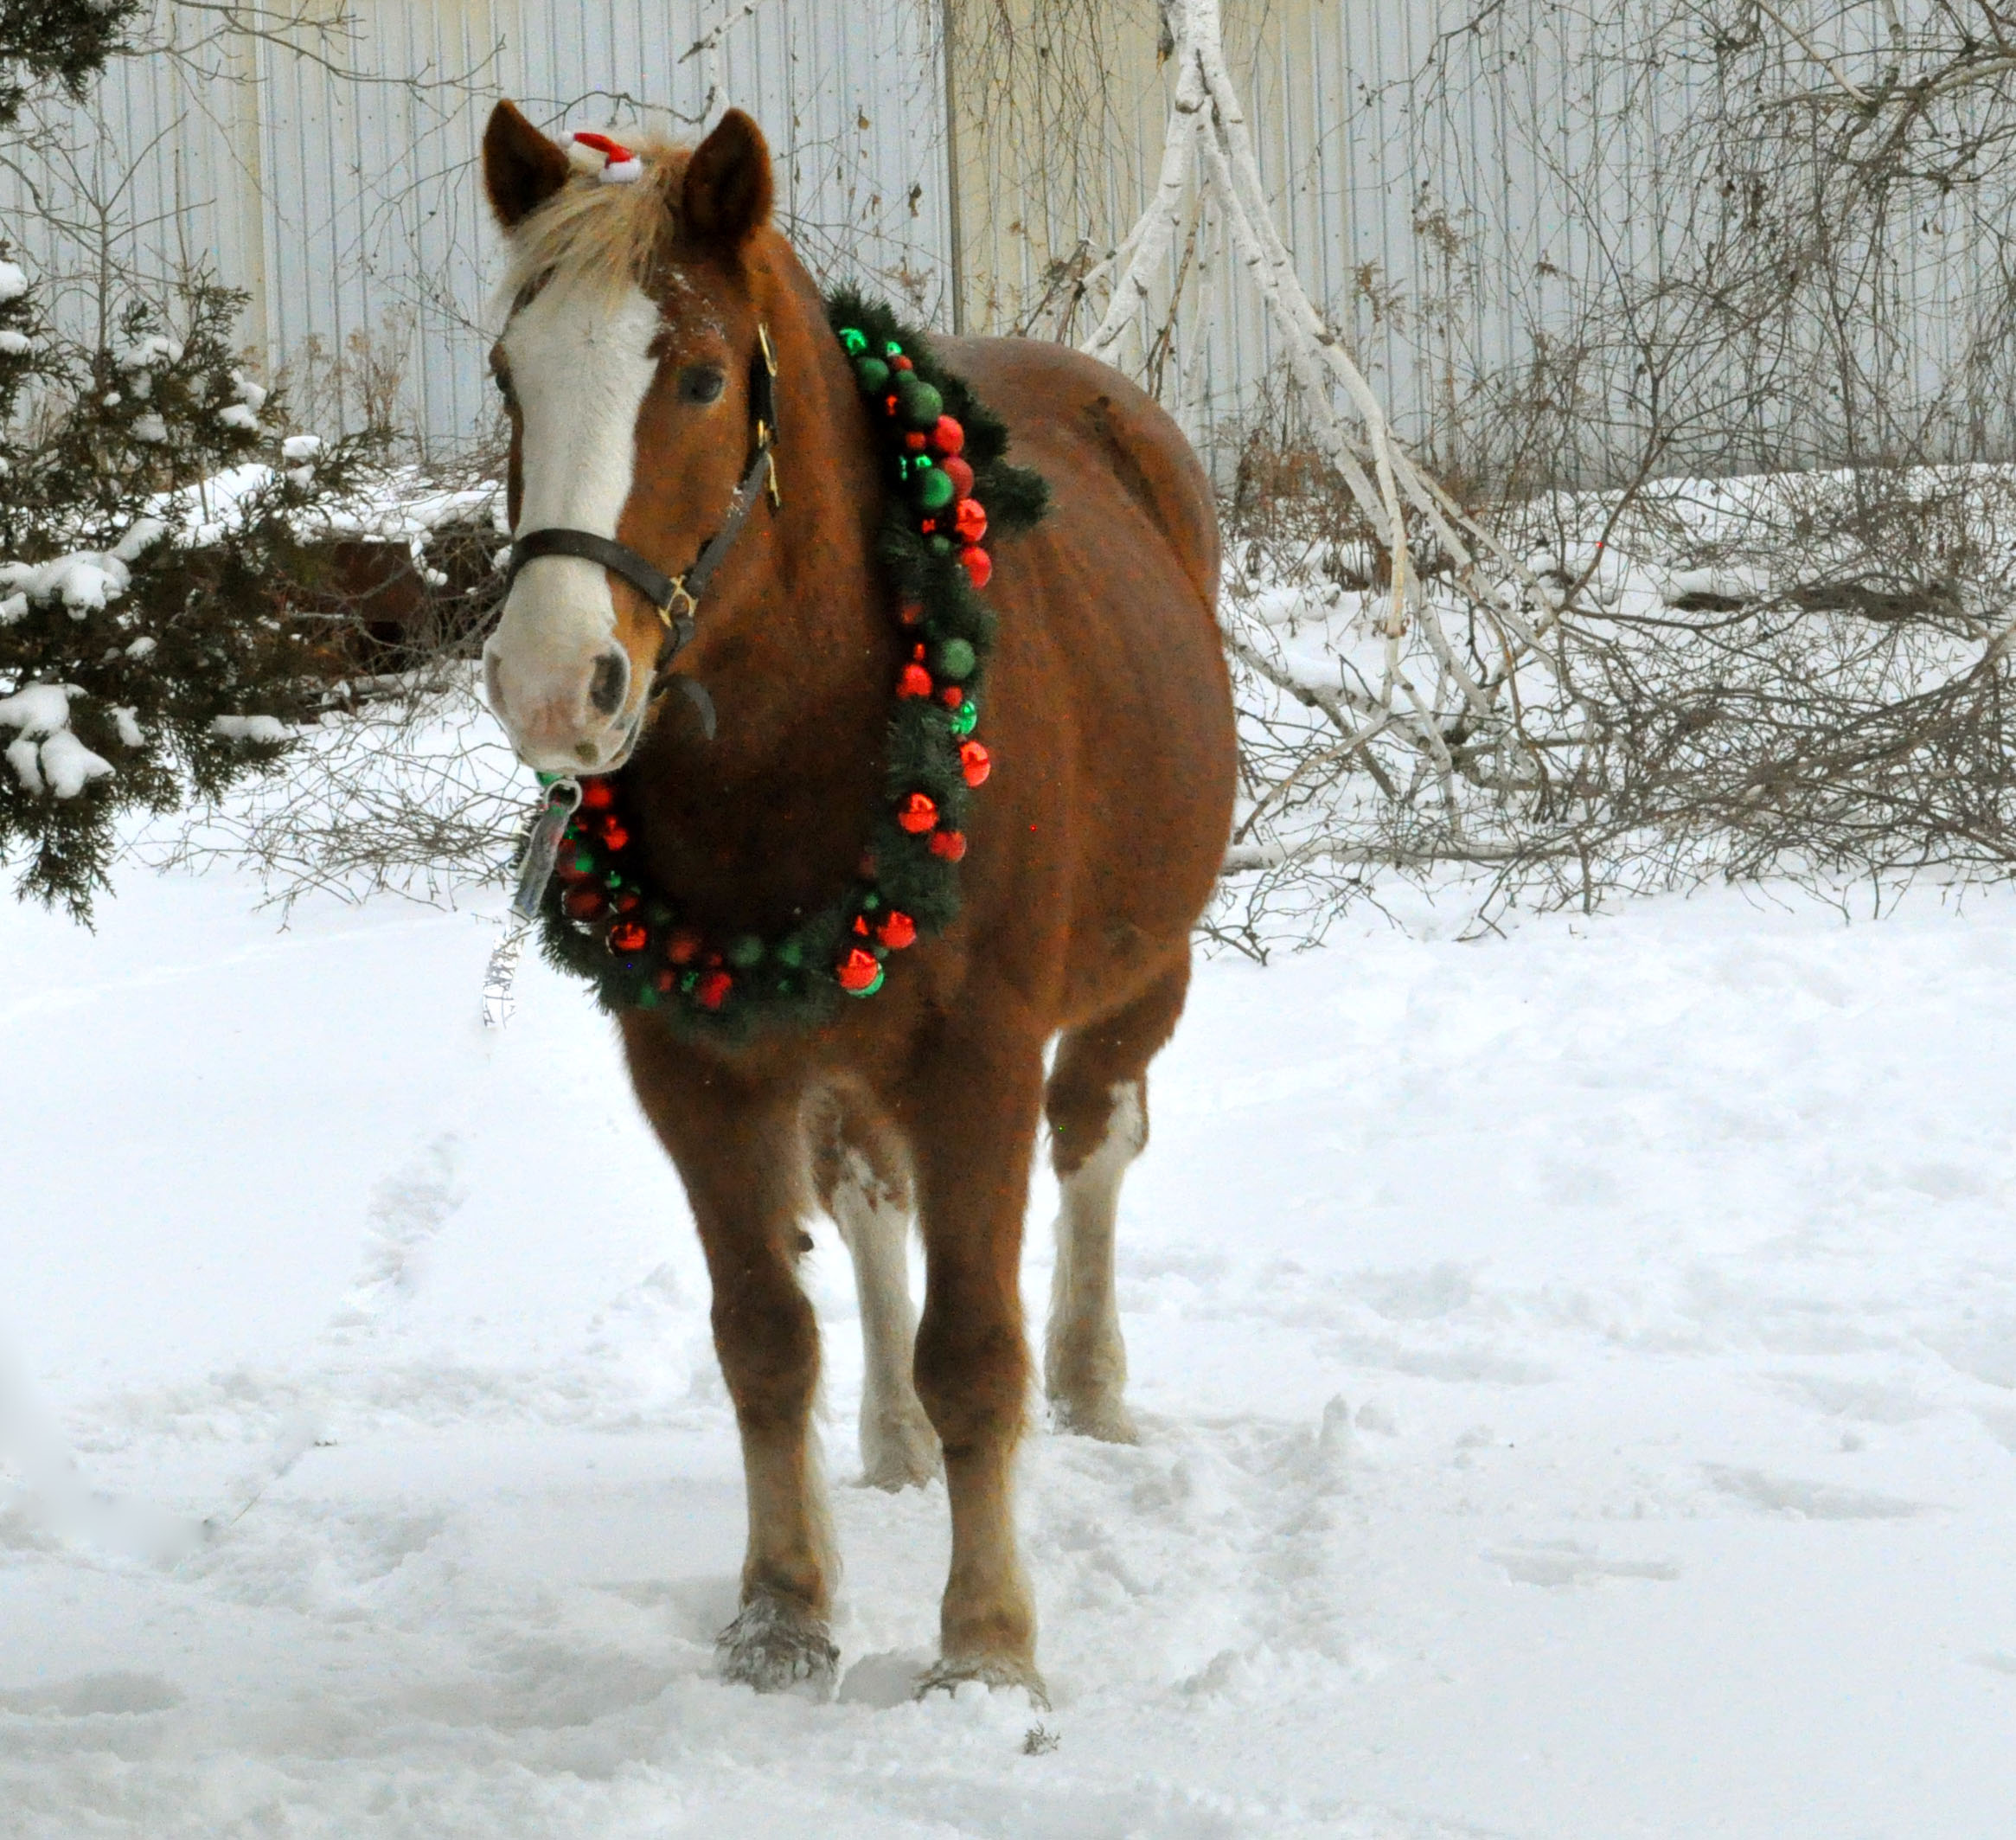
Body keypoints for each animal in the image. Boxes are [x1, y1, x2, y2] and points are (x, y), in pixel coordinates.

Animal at [478, 100, 1236, 1703]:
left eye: (701, 377)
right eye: (512, 374)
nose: (552, 684)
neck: (798, 732)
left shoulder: (978, 1059)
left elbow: (978, 1352)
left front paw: (988, 1647)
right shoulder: (696, 1066)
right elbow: (764, 1338)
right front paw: (782, 1609)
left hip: (1141, 976)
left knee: (1098, 1144)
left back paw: (1094, 1387)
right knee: (871, 1202)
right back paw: (888, 1446)